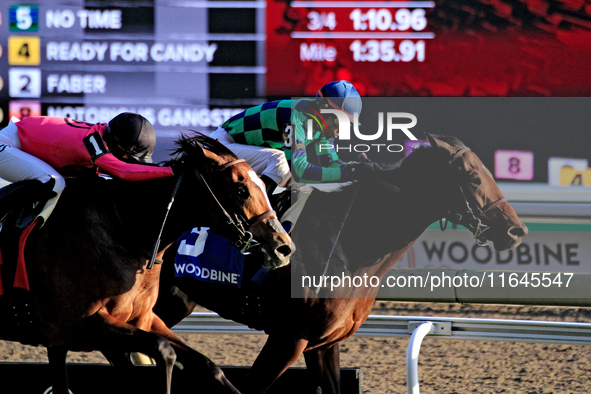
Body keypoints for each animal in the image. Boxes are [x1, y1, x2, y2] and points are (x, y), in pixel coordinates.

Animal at [0, 133, 294, 394]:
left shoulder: (141, 319)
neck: (122, 230)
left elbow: (208, 366)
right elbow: (163, 351)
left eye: (264, 186)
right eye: (241, 190)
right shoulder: (81, 325)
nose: (283, 247)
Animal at [153, 133, 528, 394]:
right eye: (473, 178)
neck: (350, 246)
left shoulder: (324, 343)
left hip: (174, 301)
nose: (516, 231)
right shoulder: (288, 337)